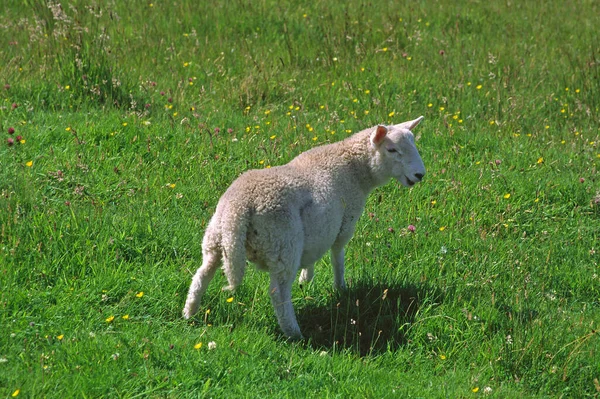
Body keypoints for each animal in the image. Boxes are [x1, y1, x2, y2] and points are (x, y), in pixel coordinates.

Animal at [183, 116, 426, 340]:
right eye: (392, 149)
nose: (420, 175)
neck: (355, 169)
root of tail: (238, 208)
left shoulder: (319, 229)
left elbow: (313, 255)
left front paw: (306, 279)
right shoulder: (345, 223)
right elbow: (338, 256)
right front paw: (341, 288)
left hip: (216, 239)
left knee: (201, 274)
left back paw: (189, 312)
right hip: (283, 245)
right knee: (279, 292)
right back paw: (294, 333)